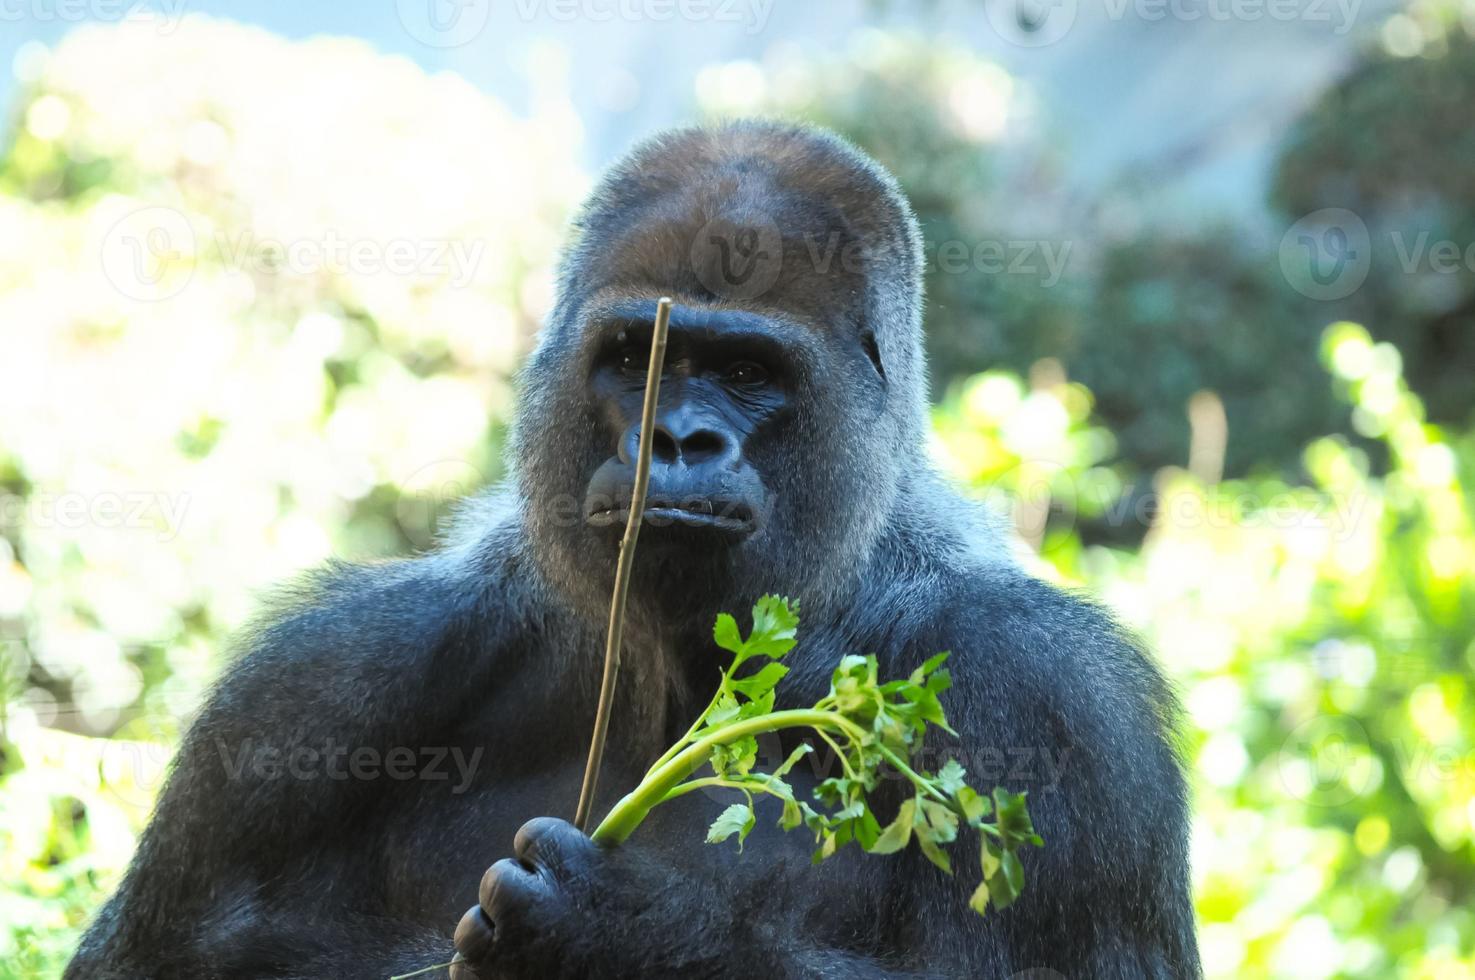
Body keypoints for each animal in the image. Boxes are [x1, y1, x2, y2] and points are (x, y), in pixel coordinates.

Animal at [66, 122, 1197, 980]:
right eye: (628, 356)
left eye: (745, 370)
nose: (674, 437)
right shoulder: (304, 689)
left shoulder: (1055, 701)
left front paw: (612, 933)